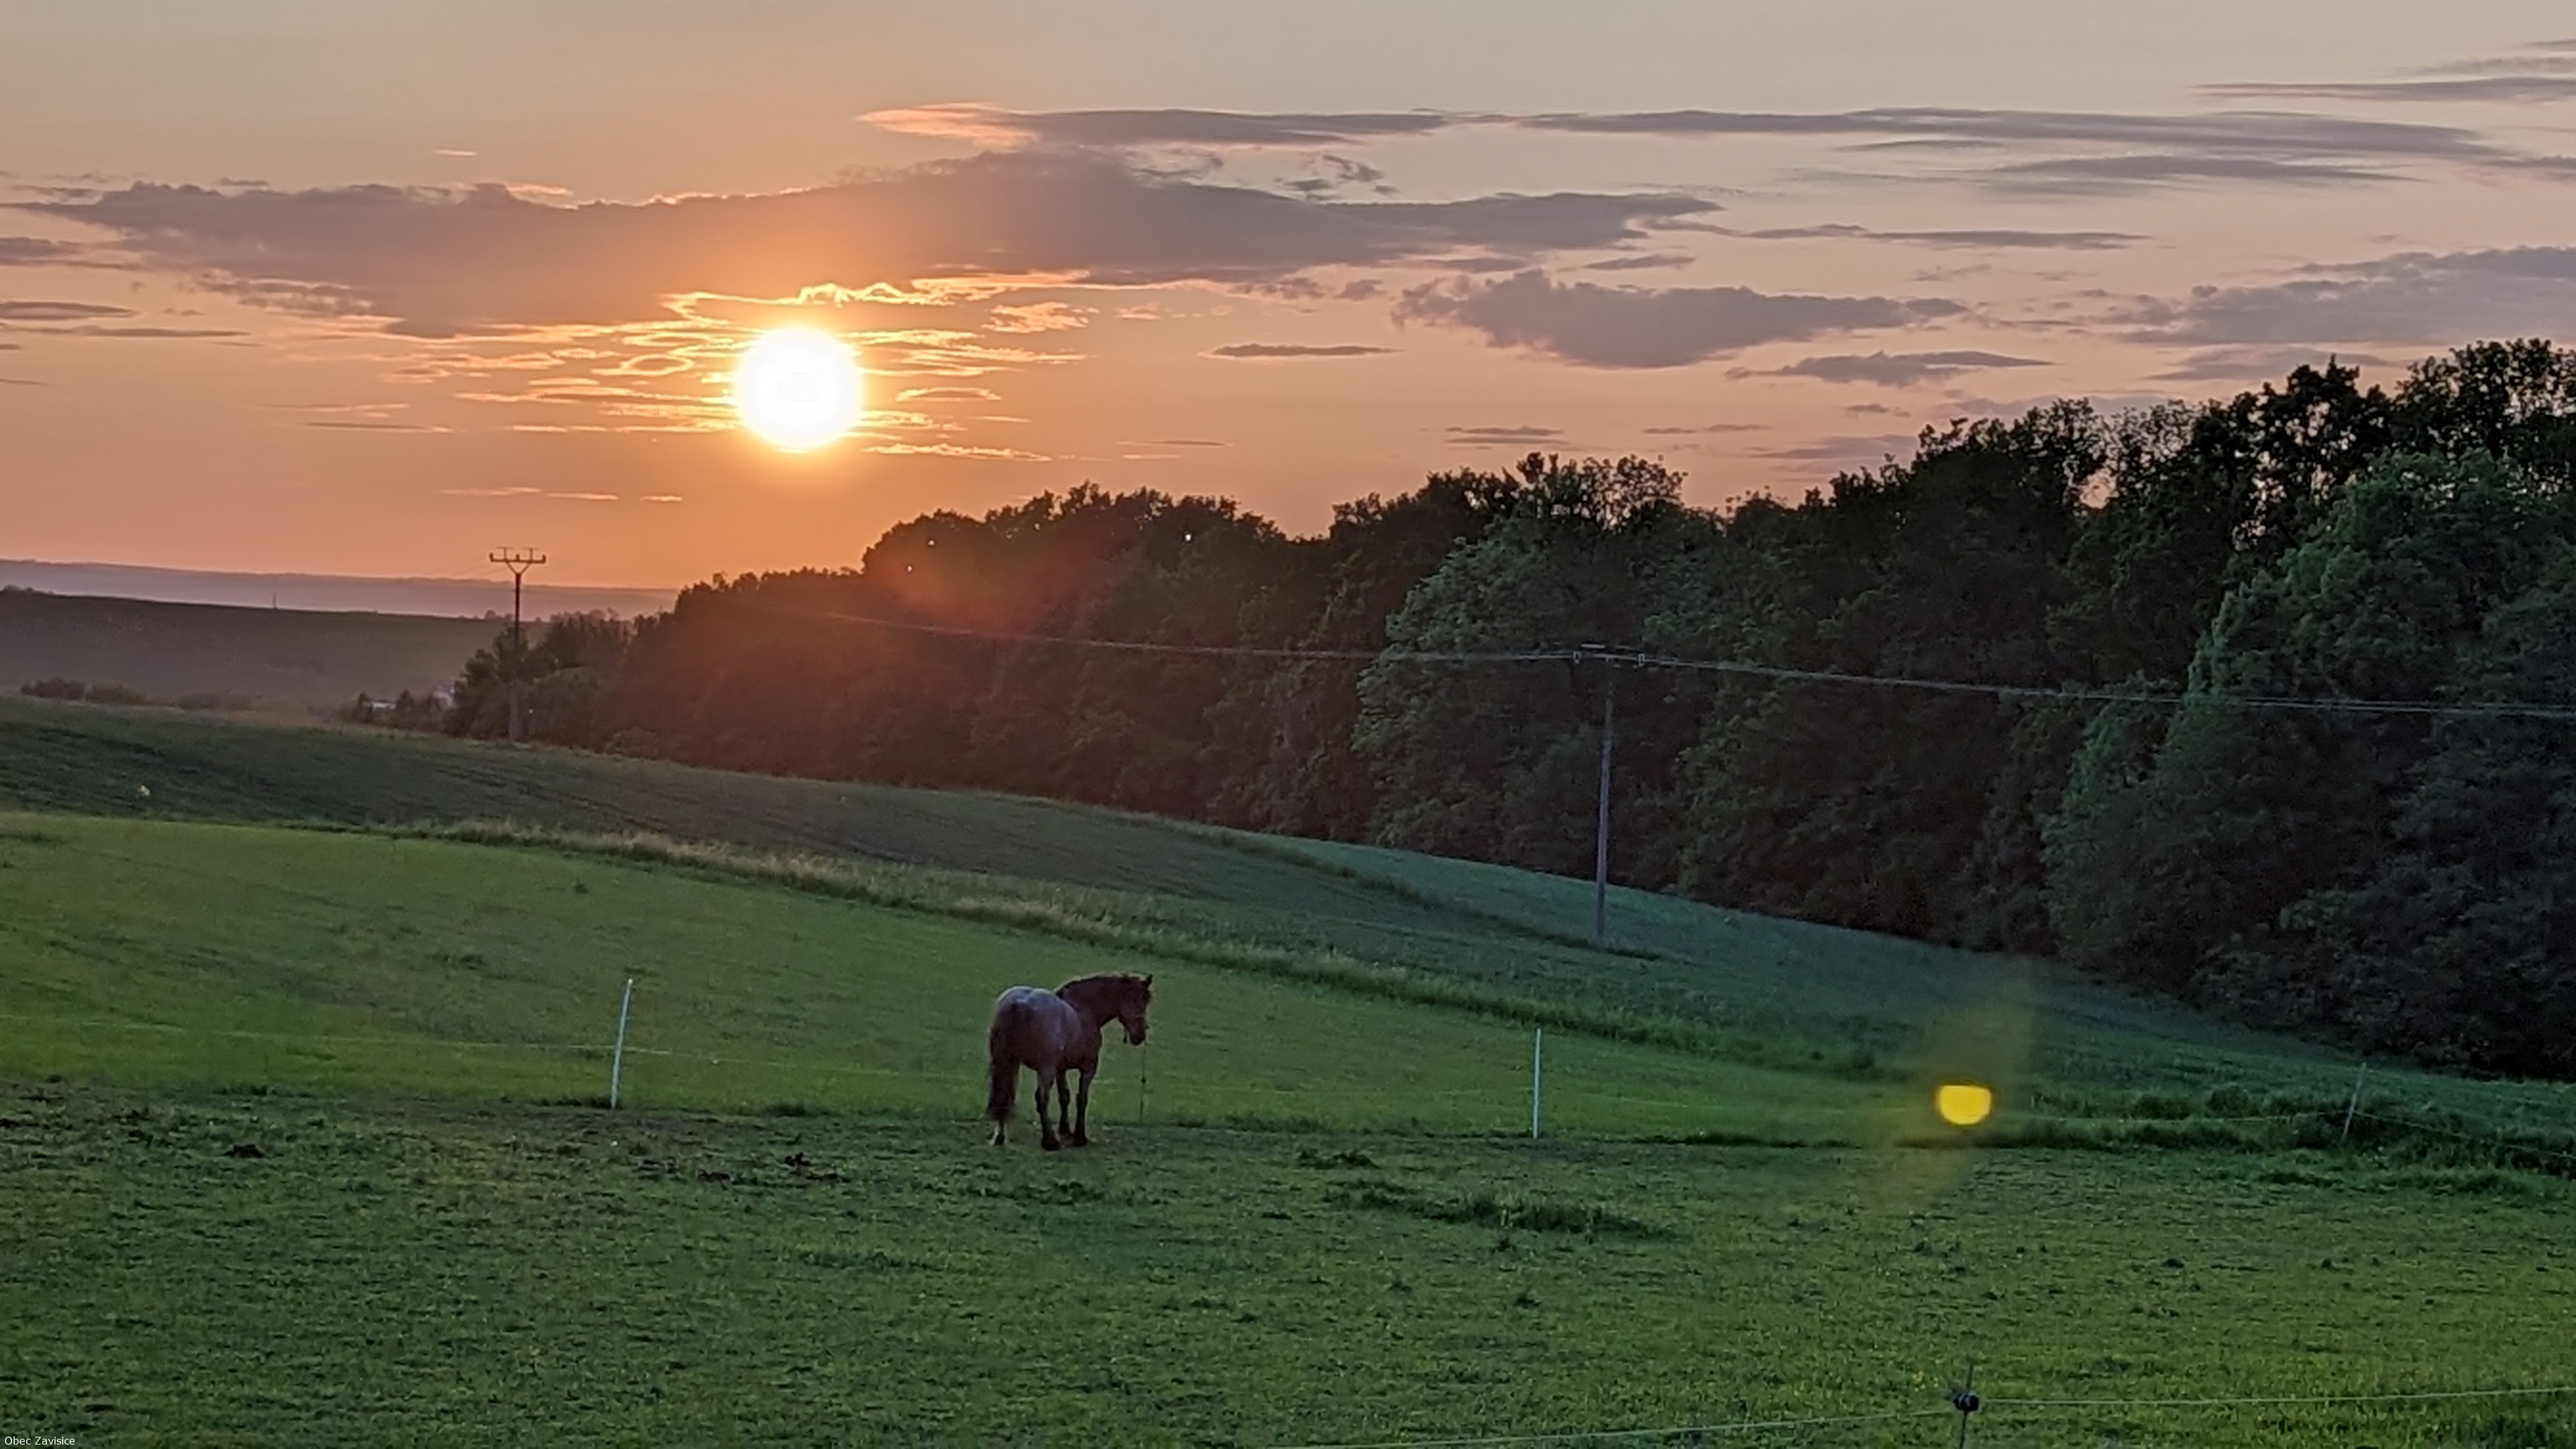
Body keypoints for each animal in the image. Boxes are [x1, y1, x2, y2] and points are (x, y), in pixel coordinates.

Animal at [985, 972, 1152, 1150]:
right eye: (1135, 999)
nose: (1140, 1036)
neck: (1084, 1009)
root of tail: (1018, 1003)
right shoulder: (1088, 1068)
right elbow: (1081, 1099)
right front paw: (1079, 1137)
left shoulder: (1061, 1069)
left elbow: (1064, 1097)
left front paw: (1065, 1131)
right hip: (1045, 1069)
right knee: (1041, 1098)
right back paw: (1050, 1140)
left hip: (1007, 1063)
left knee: (1005, 1096)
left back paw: (1000, 1137)